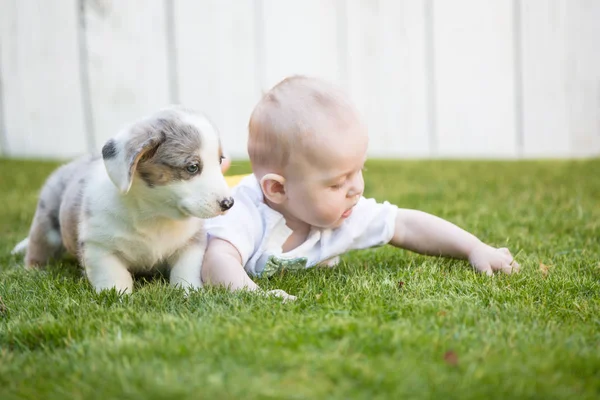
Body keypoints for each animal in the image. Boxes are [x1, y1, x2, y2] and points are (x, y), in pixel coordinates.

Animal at [13, 106, 234, 294]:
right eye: (192, 167)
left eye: (220, 161)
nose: (229, 204)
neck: (155, 214)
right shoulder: (99, 247)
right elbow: (115, 278)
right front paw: (119, 297)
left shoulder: (191, 244)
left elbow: (185, 272)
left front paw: (190, 292)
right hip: (47, 224)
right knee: (38, 247)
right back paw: (32, 270)